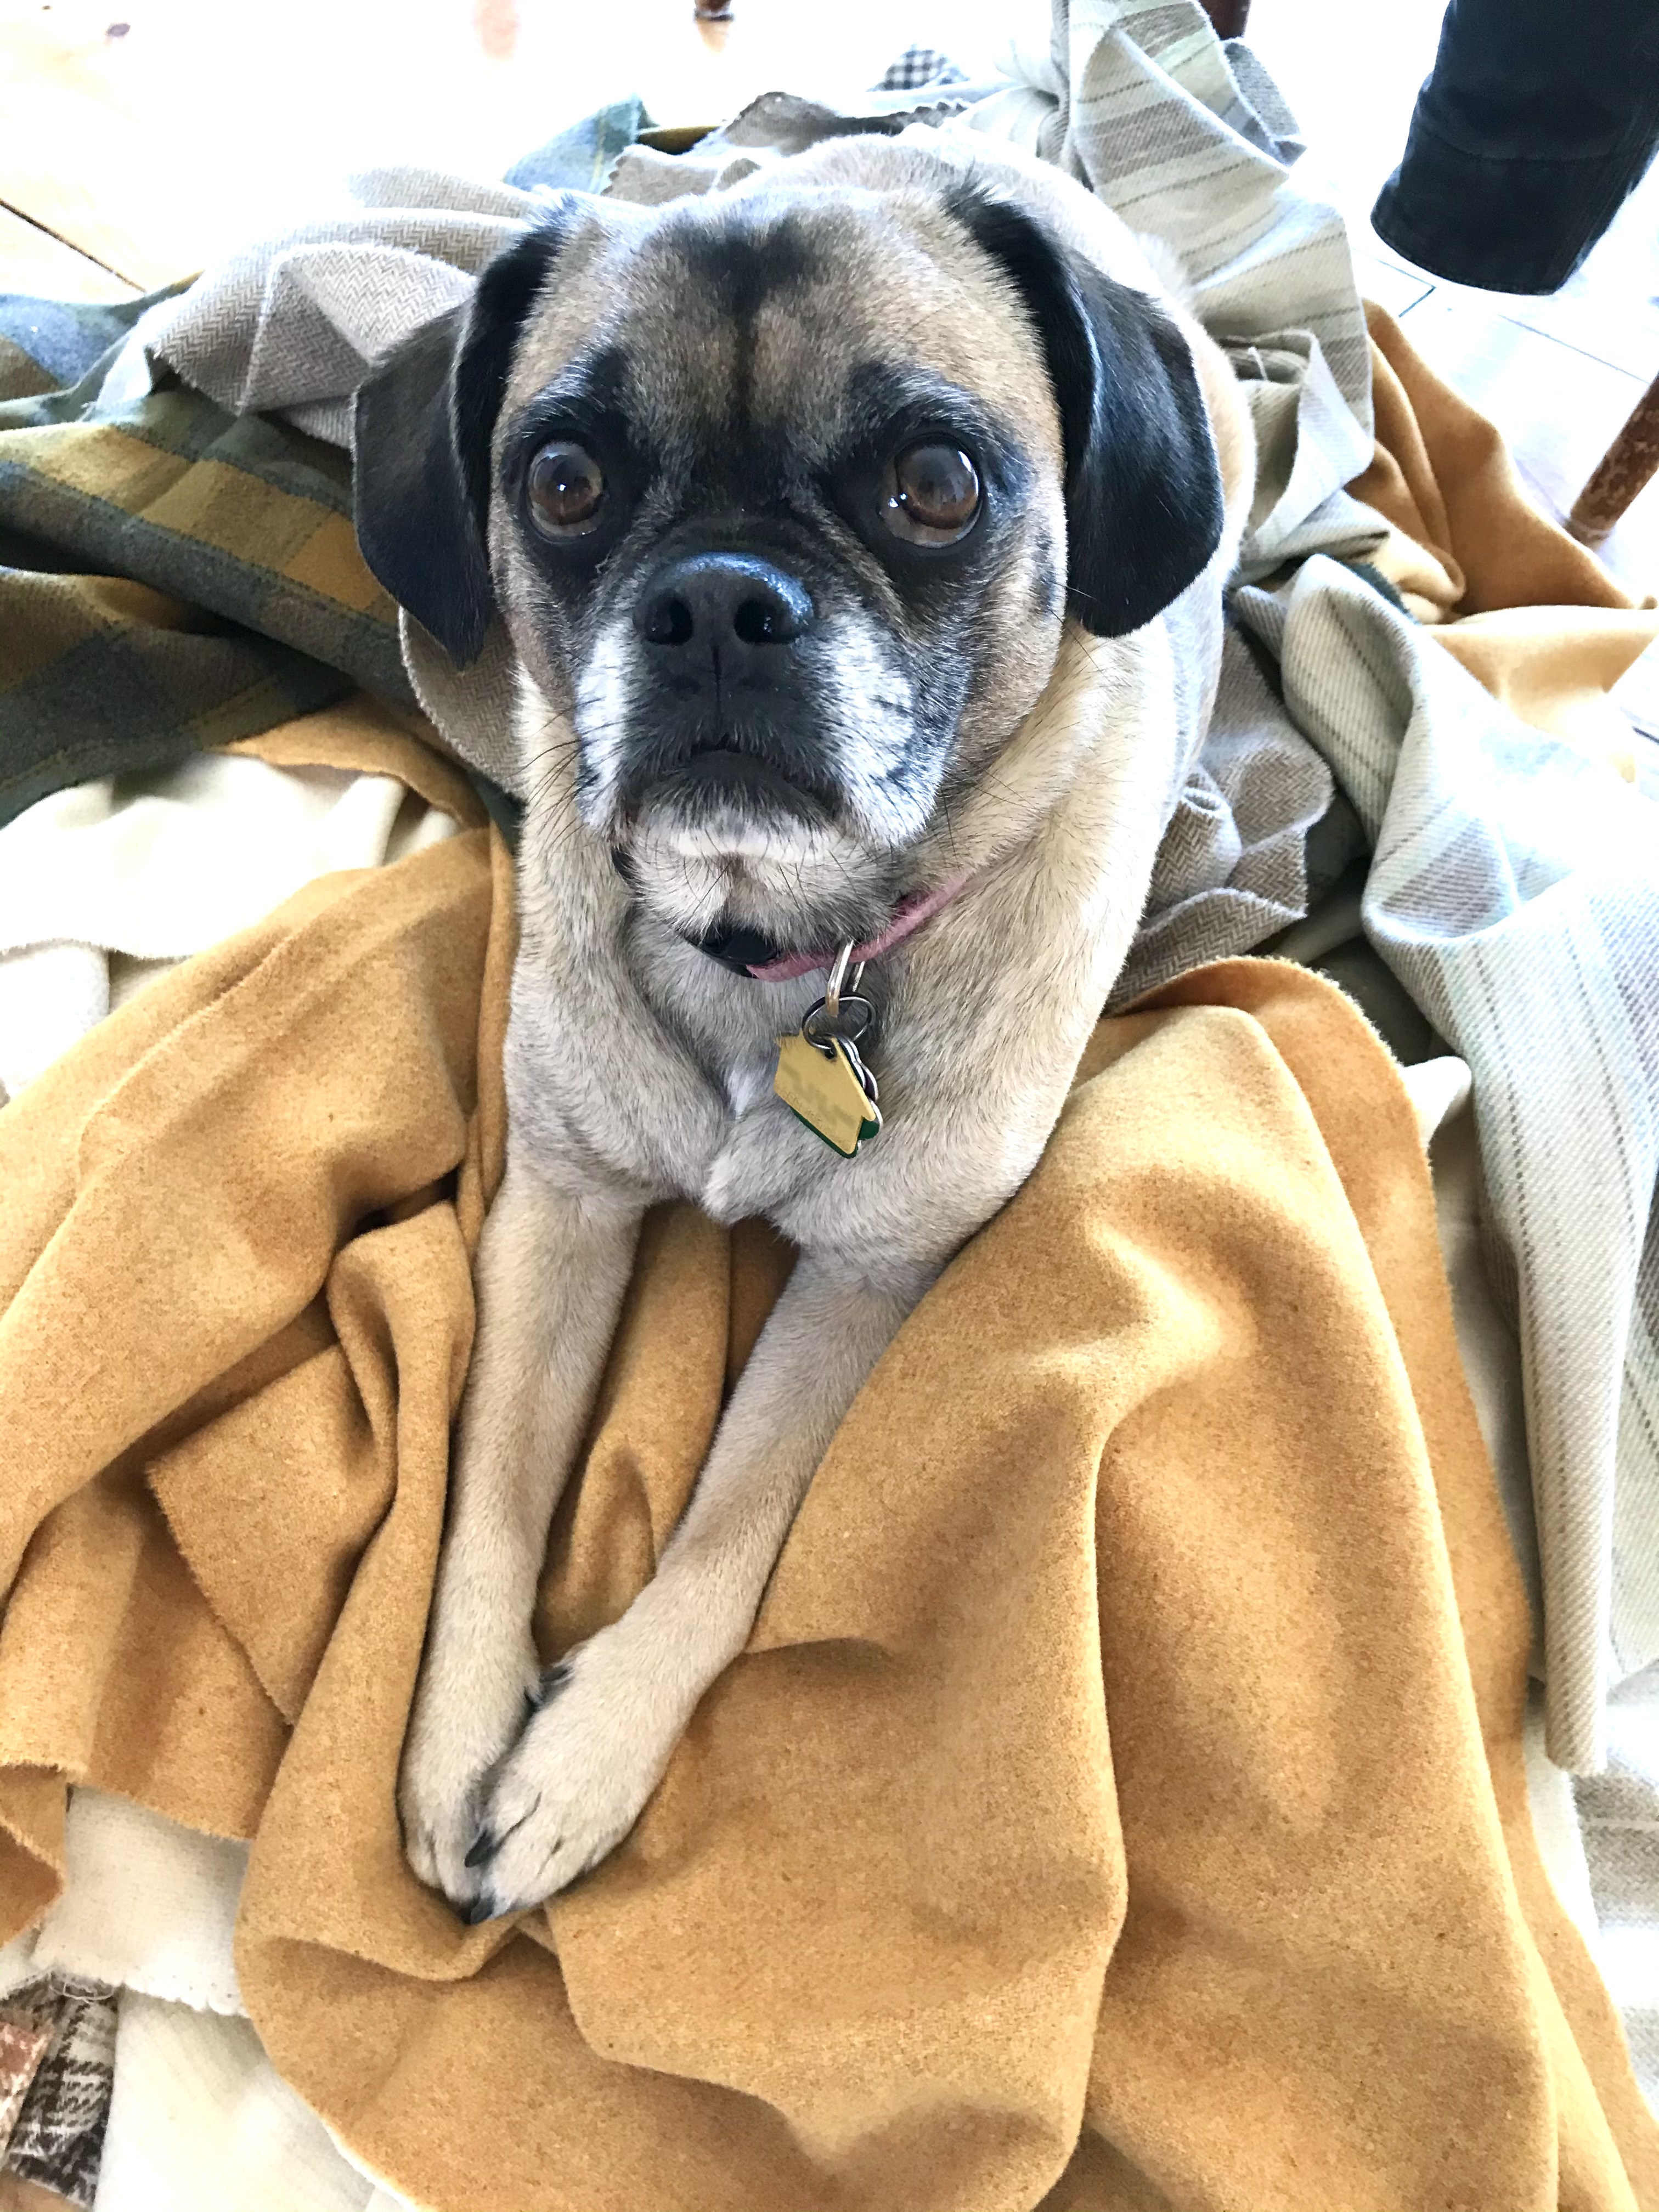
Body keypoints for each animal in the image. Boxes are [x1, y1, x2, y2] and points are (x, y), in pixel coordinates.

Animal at [352, 132, 1254, 1921]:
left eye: (938, 484)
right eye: (562, 481)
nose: (716, 599)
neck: (776, 952)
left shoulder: (862, 1284)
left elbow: (730, 1529)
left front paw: (581, 1760)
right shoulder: (558, 1214)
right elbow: (490, 1487)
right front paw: (458, 1733)